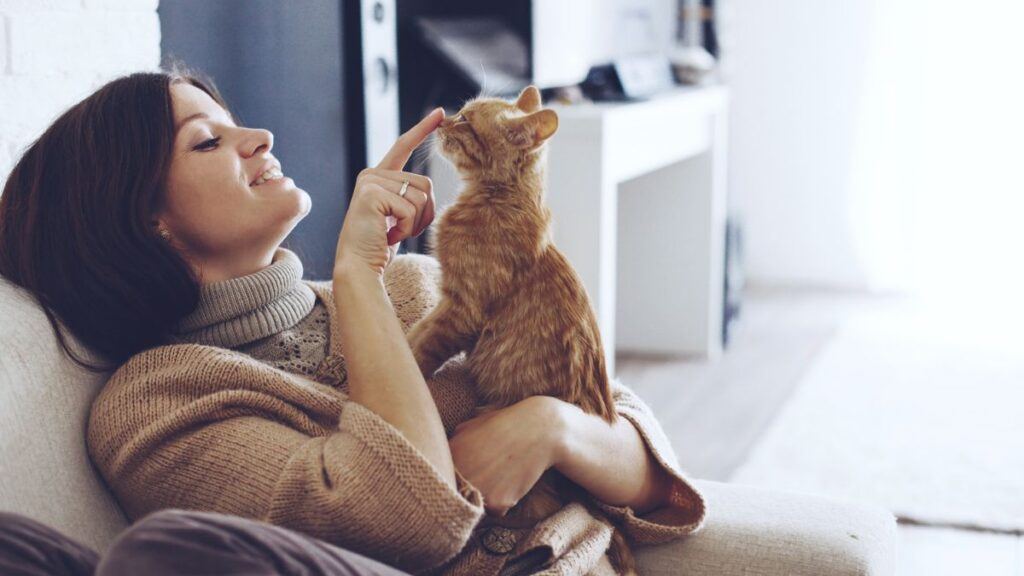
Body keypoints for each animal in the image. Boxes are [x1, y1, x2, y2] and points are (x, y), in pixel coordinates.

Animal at [405, 86, 630, 573]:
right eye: (460, 112)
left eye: (468, 123)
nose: (443, 119)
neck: (493, 199)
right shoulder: (448, 304)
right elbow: (414, 334)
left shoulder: (461, 311)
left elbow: (420, 349)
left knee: (537, 511)